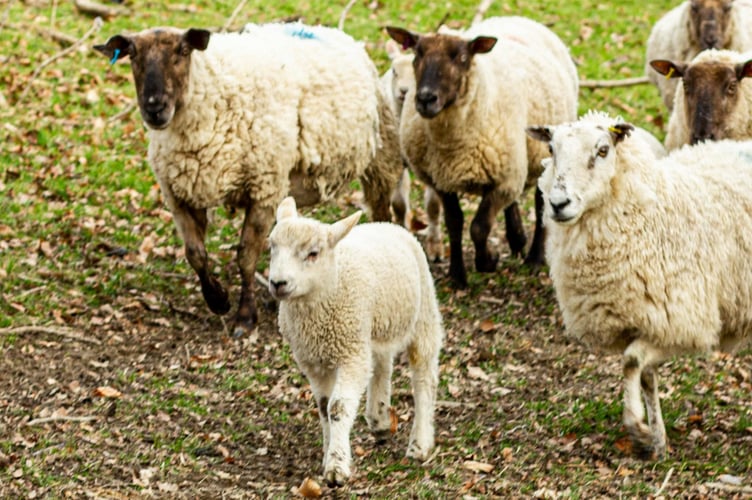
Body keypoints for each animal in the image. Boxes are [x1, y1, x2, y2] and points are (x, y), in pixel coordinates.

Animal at [94, 24, 402, 337]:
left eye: (183, 51)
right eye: (132, 54)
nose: (154, 108)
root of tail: (329, 31)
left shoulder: (264, 189)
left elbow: (245, 256)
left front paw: (245, 316)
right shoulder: (180, 194)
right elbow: (195, 253)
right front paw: (217, 299)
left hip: (381, 157)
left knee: (381, 211)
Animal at [267, 196, 444, 487]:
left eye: (313, 253)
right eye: (272, 247)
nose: (277, 283)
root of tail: (386, 224)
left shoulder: (349, 352)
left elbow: (337, 407)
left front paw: (336, 468)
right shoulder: (312, 361)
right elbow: (323, 407)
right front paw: (328, 453)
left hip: (423, 315)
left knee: (423, 377)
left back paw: (420, 443)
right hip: (374, 327)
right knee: (381, 366)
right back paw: (380, 419)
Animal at [386, 16, 579, 287]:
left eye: (461, 57)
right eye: (417, 54)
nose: (425, 99)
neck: (452, 146)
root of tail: (515, 18)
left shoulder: (503, 182)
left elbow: (479, 227)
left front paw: (487, 261)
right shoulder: (442, 180)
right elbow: (454, 223)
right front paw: (457, 275)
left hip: (541, 154)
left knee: (541, 205)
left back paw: (534, 258)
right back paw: (516, 239)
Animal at [526, 110, 752, 459]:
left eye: (603, 150)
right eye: (551, 149)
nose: (558, 203)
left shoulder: (682, 321)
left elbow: (631, 362)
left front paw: (637, 426)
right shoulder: (647, 321)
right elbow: (646, 376)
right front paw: (657, 440)